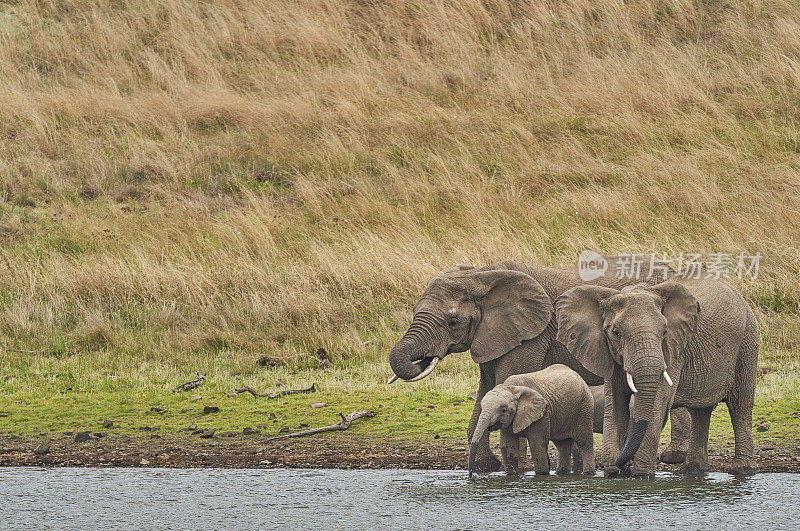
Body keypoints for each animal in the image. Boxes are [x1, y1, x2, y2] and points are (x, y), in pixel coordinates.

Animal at [388, 260, 676, 472]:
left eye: (453, 321)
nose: (424, 358)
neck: (482, 275)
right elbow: (486, 389)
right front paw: (486, 467)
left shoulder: (531, 335)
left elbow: (508, 380)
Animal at [552, 280, 760, 476]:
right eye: (616, 333)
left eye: (665, 332)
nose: (625, 468)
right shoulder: (608, 352)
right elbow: (615, 404)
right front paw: (612, 472)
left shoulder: (673, 350)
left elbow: (657, 403)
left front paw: (641, 475)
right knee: (701, 412)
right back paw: (693, 470)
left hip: (748, 342)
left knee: (740, 405)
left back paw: (743, 469)